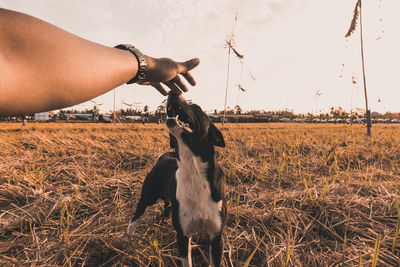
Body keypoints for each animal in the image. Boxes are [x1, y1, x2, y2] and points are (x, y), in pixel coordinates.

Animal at [128, 92, 228, 267]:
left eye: (196, 107)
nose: (172, 92)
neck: (194, 171)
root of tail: (163, 158)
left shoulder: (216, 237)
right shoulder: (182, 236)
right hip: (146, 199)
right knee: (132, 222)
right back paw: (129, 242)